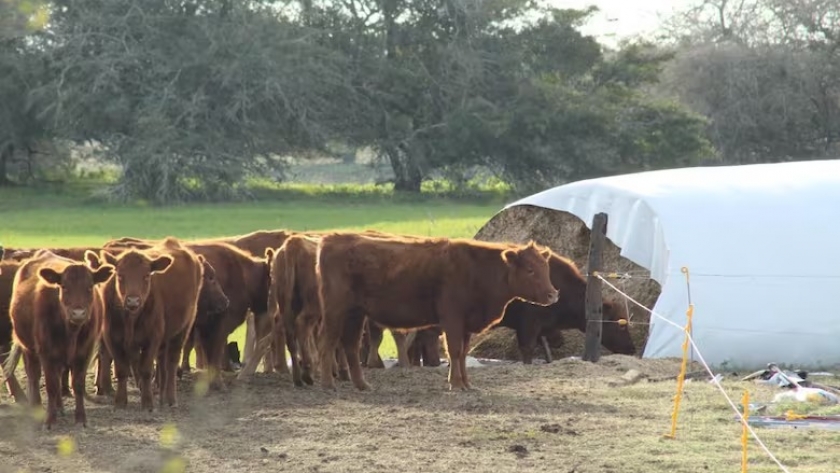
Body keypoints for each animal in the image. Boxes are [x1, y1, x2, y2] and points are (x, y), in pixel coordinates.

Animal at [8, 249, 114, 426]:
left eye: (89, 287)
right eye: (64, 287)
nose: (78, 313)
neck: (71, 331)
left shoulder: (84, 352)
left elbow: (77, 384)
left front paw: (80, 418)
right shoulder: (46, 352)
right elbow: (51, 385)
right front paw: (49, 420)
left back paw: (59, 407)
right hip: (28, 348)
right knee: (34, 375)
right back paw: (37, 407)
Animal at [97, 238, 203, 408]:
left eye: (146, 276)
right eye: (120, 276)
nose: (133, 301)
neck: (130, 319)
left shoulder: (153, 338)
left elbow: (146, 370)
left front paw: (147, 402)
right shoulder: (112, 338)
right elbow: (122, 369)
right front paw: (120, 401)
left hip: (182, 330)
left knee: (171, 363)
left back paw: (170, 398)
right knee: (161, 362)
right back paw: (161, 395)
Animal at [316, 233, 556, 390]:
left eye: (546, 268)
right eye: (530, 269)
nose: (553, 294)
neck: (476, 269)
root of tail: (331, 239)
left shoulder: (466, 325)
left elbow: (463, 353)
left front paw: (467, 383)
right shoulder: (452, 320)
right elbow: (455, 351)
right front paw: (456, 383)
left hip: (355, 314)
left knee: (351, 346)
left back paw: (362, 384)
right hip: (335, 311)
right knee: (328, 343)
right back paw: (328, 383)